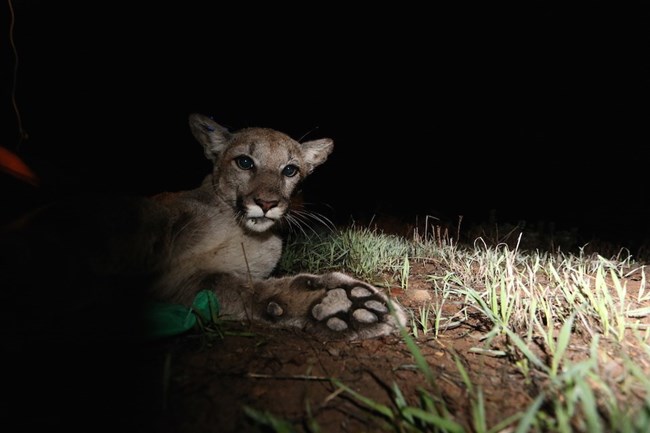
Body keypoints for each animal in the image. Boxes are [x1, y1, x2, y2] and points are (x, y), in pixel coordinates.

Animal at [0, 114, 404, 340]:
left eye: (291, 170)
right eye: (245, 162)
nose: (267, 203)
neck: (239, 229)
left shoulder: (188, 281)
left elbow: (235, 287)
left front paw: (339, 305)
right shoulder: (154, 218)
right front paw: (340, 302)